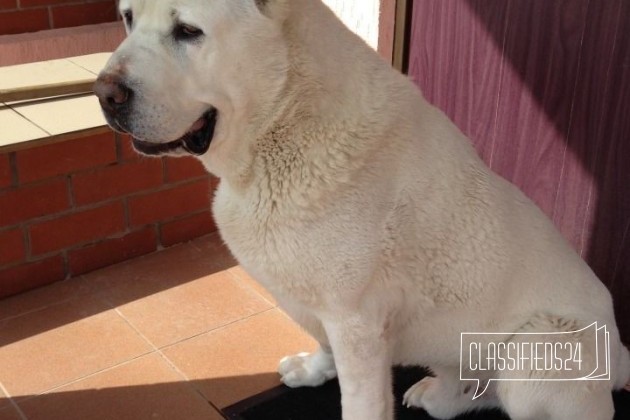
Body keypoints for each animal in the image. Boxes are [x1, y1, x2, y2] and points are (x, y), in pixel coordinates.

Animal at [95, 1, 630, 418]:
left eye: (188, 31)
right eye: (127, 18)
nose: (104, 94)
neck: (287, 116)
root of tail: (622, 356)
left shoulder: (358, 324)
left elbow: (360, 400)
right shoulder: (320, 303)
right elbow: (322, 341)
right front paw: (313, 370)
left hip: (537, 350)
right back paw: (439, 392)